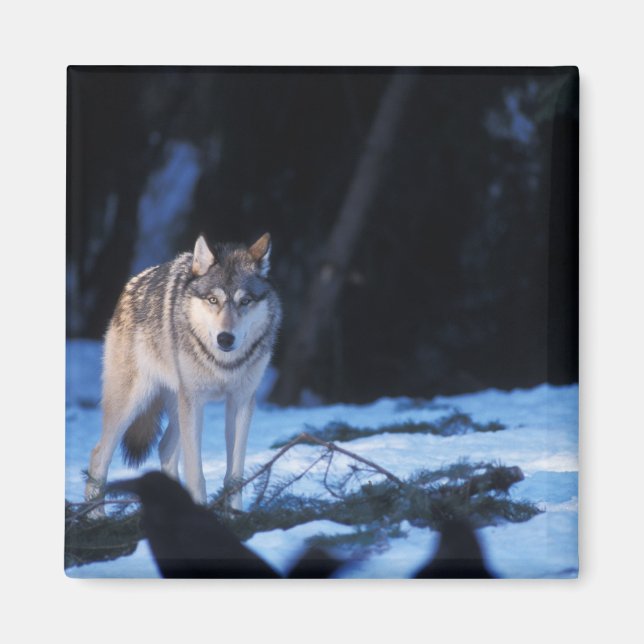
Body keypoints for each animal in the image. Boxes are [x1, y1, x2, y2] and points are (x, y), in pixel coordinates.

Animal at [85, 233, 281, 513]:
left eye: (245, 301)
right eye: (213, 300)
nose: (225, 338)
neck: (223, 364)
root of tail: (132, 283)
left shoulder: (241, 401)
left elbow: (235, 474)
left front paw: (235, 514)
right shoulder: (195, 401)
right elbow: (195, 472)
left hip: (178, 407)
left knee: (165, 448)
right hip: (135, 403)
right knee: (98, 455)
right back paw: (95, 517)